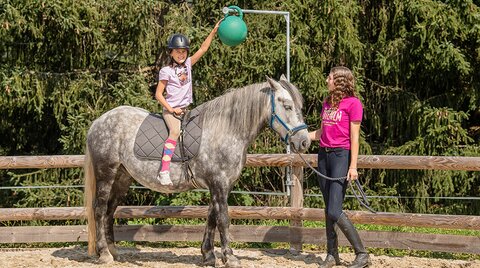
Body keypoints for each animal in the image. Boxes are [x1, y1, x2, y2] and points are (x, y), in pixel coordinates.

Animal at [85, 75, 312, 266]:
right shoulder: (219, 183)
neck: (227, 129)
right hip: (106, 174)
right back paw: (104, 254)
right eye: (287, 106)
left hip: (122, 177)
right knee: (99, 209)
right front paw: (229, 257)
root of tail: (98, 122)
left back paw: (114, 252)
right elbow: (223, 219)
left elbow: (212, 218)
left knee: (110, 210)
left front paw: (208, 255)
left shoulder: (219, 185)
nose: (304, 142)